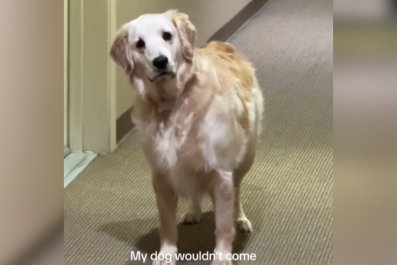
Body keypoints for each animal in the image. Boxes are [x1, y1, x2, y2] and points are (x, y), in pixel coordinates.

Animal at [110, 9, 262, 262]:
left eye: (167, 35)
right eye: (139, 44)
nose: (160, 62)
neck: (172, 104)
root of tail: (222, 45)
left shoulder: (221, 173)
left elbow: (223, 226)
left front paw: (222, 257)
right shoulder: (162, 175)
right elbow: (167, 225)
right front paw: (166, 255)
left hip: (245, 158)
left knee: (237, 192)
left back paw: (240, 218)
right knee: (194, 191)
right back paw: (193, 211)